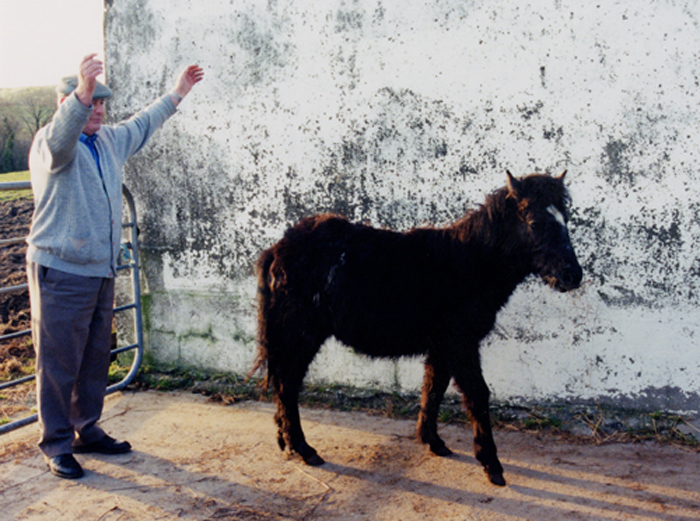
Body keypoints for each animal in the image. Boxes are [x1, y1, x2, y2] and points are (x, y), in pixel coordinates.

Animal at [254, 173, 584, 486]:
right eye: (534, 222)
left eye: (565, 219)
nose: (573, 275)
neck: (467, 263)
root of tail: (279, 247)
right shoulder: (460, 344)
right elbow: (477, 395)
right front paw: (491, 464)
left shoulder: (442, 347)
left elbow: (433, 388)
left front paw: (433, 441)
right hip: (300, 335)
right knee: (287, 385)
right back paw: (303, 448)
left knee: (284, 385)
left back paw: (286, 439)